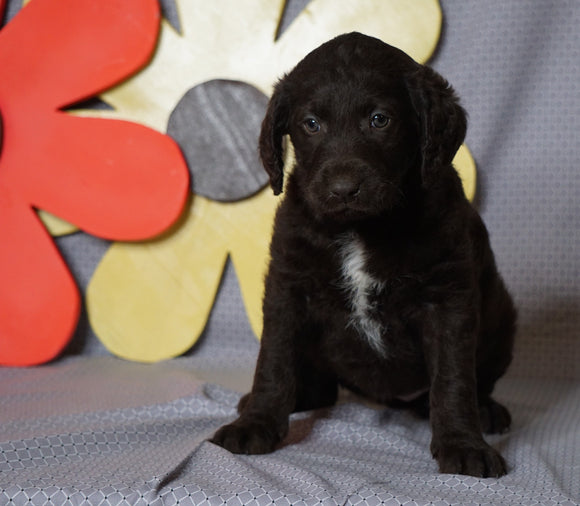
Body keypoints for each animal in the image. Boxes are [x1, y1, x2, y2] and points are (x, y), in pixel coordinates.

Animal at [213, 32, 516, 478]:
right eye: (311, 124)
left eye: (379, 120)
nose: (343, 189)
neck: (360, 229)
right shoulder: (288, 287)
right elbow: (273, 362)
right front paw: (257, 422)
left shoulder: (448, 297)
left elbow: (454, 379)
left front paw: (463, 443)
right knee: (319, 387)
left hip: (503, 316)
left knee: (477, 379)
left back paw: (488, 411)